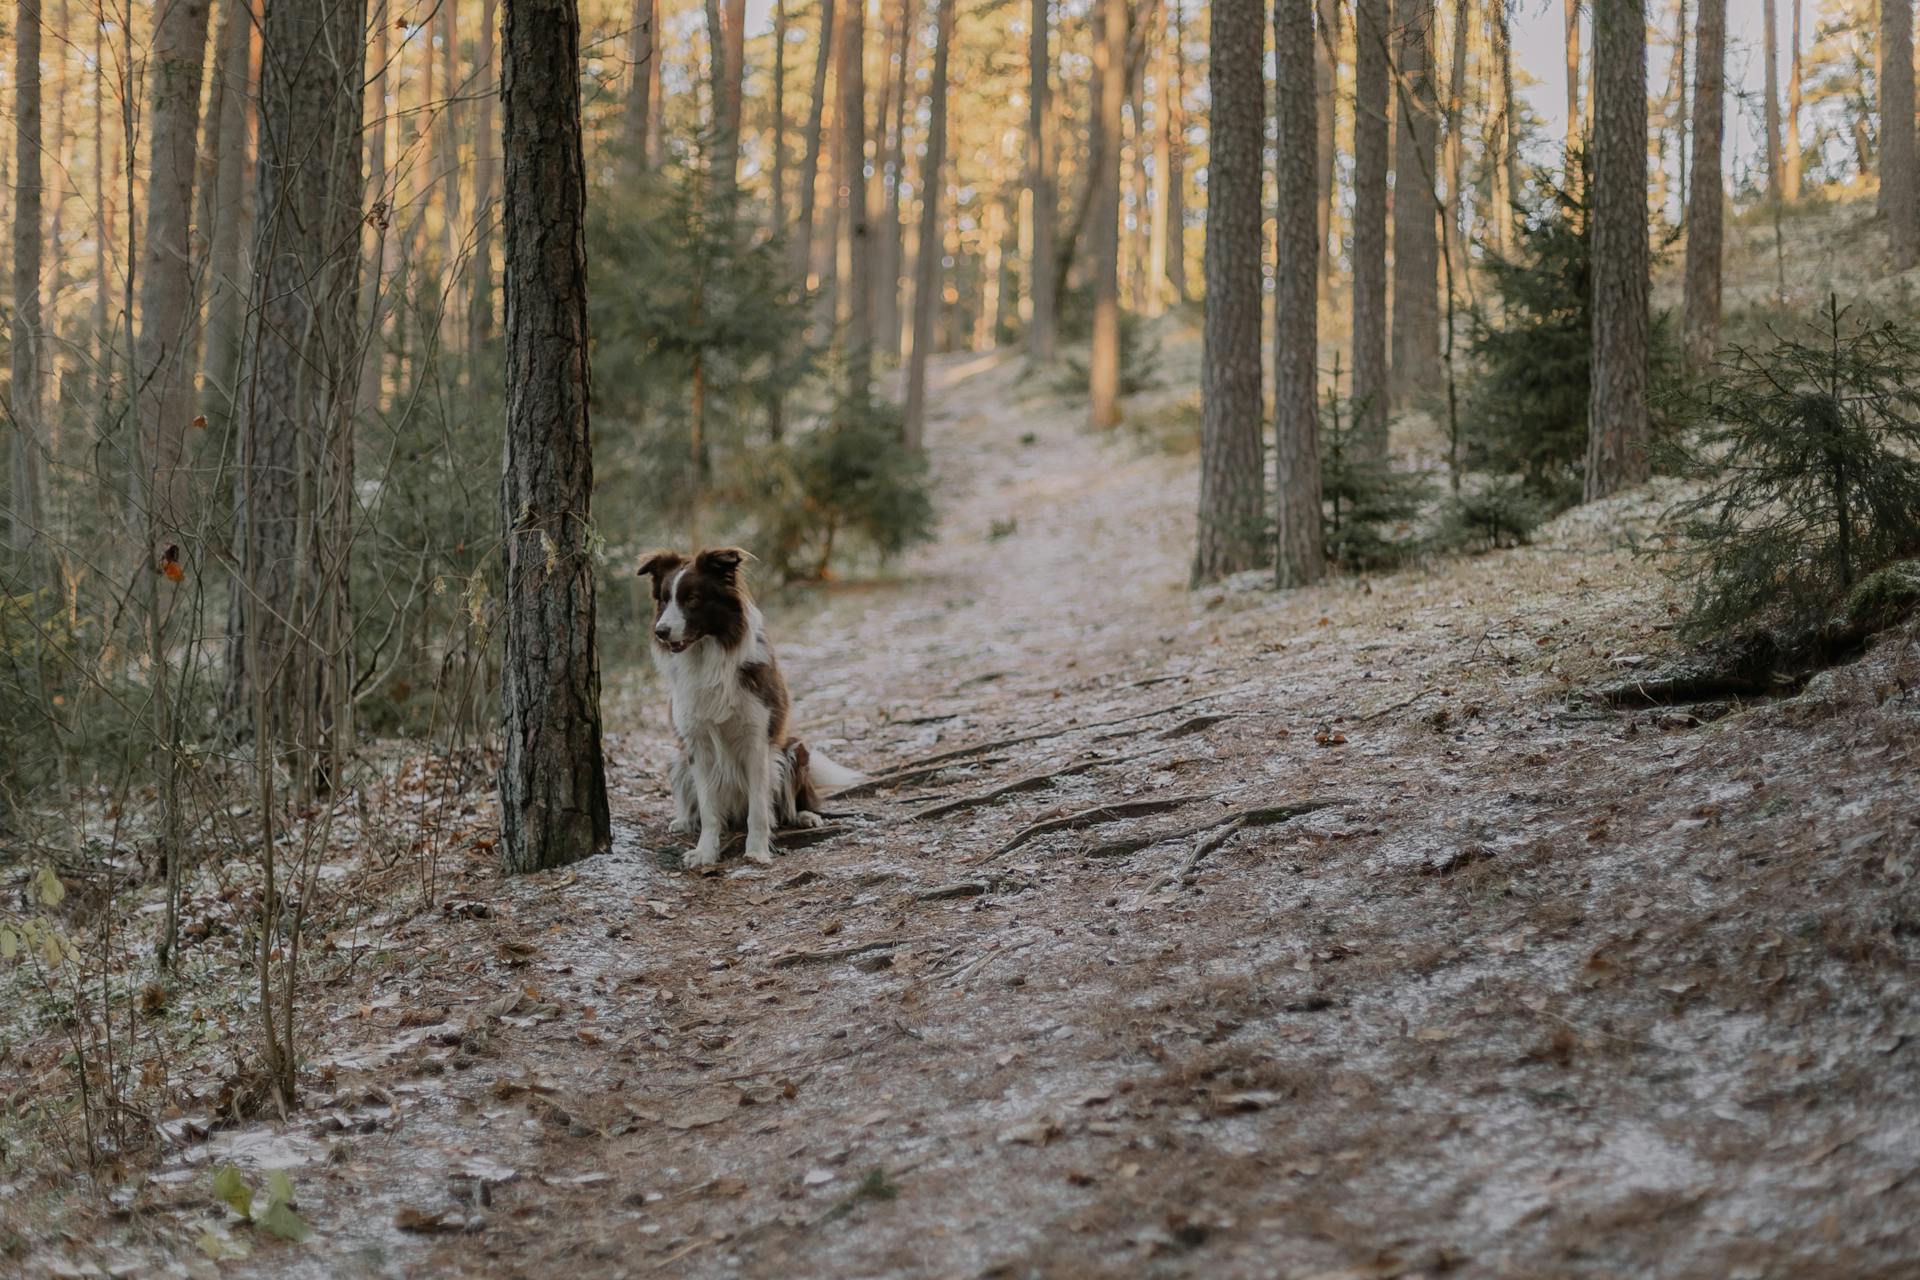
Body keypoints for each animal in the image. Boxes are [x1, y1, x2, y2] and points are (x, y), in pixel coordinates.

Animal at [641, 545, 860, 867]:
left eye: (692, 599)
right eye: (665, 599)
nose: (660, 631)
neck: (708, 656)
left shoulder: (756, 741)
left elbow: (758, 806)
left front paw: (756, 851)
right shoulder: (697, 745)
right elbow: (708, 810)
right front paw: (706, 852)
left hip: (795, 749)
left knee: (792, 803)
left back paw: (804, 816)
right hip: (677, 757)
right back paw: (683, 820)